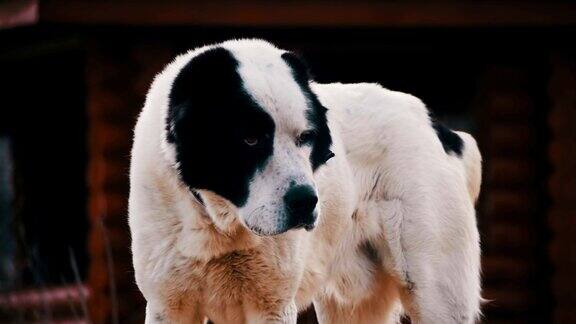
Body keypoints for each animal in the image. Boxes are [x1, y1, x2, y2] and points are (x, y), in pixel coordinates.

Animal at [129, 39, 482, 322]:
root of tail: (438, 128)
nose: (306, 201)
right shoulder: (168, 305)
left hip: (435, 293)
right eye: (250, 139)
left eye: (306, 138)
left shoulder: (271, 306)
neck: (221, 226)